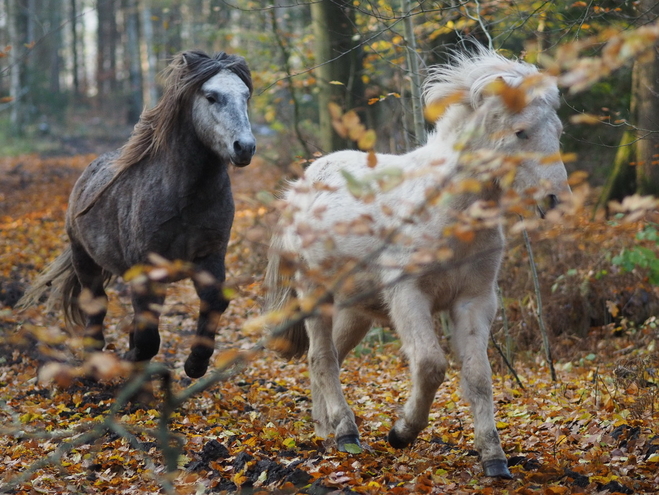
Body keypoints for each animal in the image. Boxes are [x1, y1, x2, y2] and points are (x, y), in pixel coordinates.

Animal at [19, 50, 256, 378]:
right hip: (84, 258)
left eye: (246, 96)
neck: (185, 199)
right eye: (211, 96)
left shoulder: (211, 258)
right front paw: (131, 357)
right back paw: (95, 357)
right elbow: (147, 337)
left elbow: (212, 304)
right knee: (96, 303)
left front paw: (195, 364)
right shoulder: (147, 269)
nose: (244, 147)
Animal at [266, 48, 568, 478]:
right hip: (314, 294)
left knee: (326, 359)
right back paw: (346, 434)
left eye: (558, 132)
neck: (448, 211)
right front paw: (401, 433)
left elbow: (478, 377)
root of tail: (300, 186)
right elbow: (430, 365)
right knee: (322, 358)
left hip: (356, 310)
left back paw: (325, 430)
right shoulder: (409, 295)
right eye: (521, 132)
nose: (555, 199)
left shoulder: (474, 301)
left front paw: (494, 458)